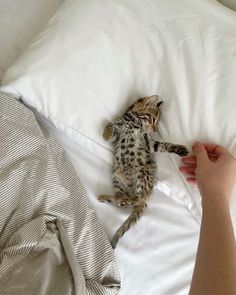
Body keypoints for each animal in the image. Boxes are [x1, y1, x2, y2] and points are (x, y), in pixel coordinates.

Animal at [97, 96, 188, 249]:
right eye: (153, 120)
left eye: (157, 123)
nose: (154, 129)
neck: (133, 121)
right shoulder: (119, 131)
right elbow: (110, 124)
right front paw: (106, 133)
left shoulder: (148, 141)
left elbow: (164, 145)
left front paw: (178, 149)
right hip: (117, 178)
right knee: (125, 199)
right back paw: (111, 198)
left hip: (142, 173)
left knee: (138, 199)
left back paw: (123, 199)